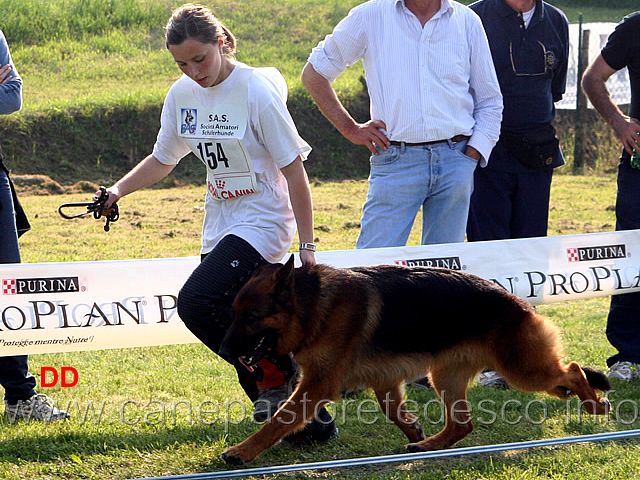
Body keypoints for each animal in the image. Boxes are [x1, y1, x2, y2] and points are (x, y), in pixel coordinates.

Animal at [219, 256, 608, 464]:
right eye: (233, 314)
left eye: (251, 317)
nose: (224, 350)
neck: (312, 305)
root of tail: (518, 302)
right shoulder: (385, 379)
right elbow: (392, 409)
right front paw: (412, 428)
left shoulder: (317, 384)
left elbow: (278, 421)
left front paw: (242, 451)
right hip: (450, 377)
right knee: (464, 424)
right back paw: (427, 444)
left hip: (523, 370)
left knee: (573, 370)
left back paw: (595, 404)